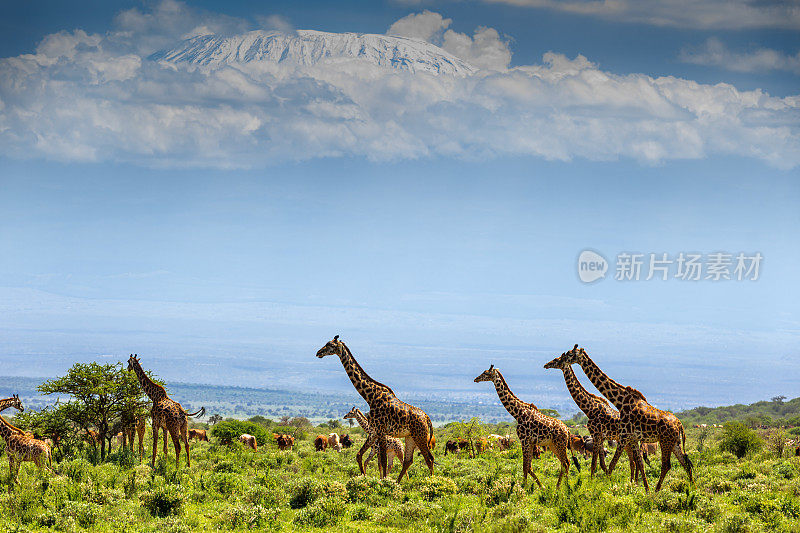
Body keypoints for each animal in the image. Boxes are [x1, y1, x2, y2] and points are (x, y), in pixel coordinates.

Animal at [316, 334, 434, 480]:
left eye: (330, 345)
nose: (318, 352)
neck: (370, 397)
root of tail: (427, 418)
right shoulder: (375, 432)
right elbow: (360, 455)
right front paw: (364, 477)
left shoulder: (381, 431)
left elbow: (382, 461)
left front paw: (383, 481)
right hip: (410, 437)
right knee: (408, 460)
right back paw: (398, 482)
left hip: (420, 436)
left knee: (429, 458)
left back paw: (432, 481)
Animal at [560, 344, 692, 490]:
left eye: (570, 354)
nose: (562, 358)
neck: (621, 401)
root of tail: (679, 424)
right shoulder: (631, 438)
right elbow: (638, 464)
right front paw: (644, 490)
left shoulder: (623, 436)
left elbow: (611, 464)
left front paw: (607, 487)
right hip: (674, 442)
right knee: (685, 463)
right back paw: (693, 488)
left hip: (665, 441)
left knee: (666, 465)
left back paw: (657, 491)